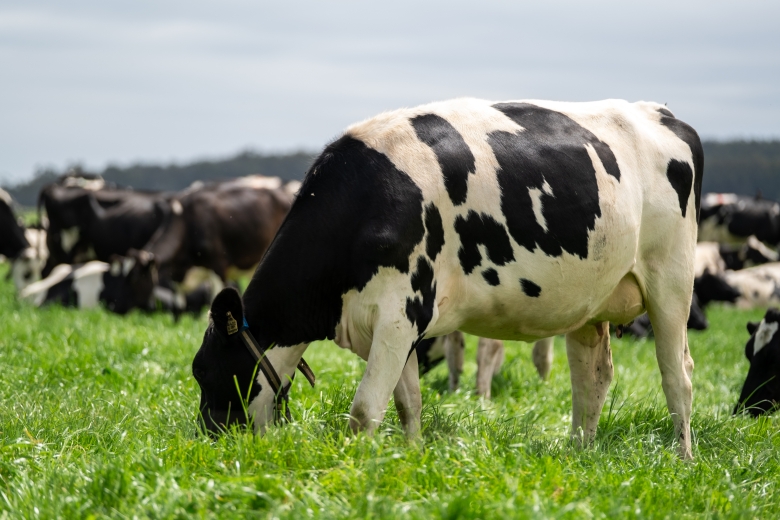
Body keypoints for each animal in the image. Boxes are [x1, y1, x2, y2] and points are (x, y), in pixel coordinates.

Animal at [192, 98, 702, 459]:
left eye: (204, 370)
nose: (209, 443)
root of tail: (662, 113)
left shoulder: (399, 314)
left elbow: (364, 410)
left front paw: (356, 467)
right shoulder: (397, 326)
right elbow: (408, 404)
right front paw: (412, 457)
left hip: (671, 281)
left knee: (677, 375)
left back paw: (682, 458)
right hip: (592, 300)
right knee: (592, 378)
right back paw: (579, 452)